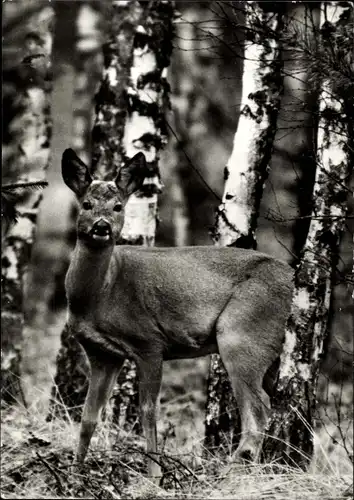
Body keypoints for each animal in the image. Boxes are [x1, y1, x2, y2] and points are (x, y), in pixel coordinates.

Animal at [63, 147, 294, 480]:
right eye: (86, 204)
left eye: (119, 206)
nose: (102, 227)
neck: (99, 295)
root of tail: (293, 278)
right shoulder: (102, 353)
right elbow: (88, 415)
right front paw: (75, 471)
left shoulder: (149, 341)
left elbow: (148, 411)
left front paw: (154, 473)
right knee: (267, 403)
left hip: (243, 333)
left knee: (259, 408)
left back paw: (228, 472)